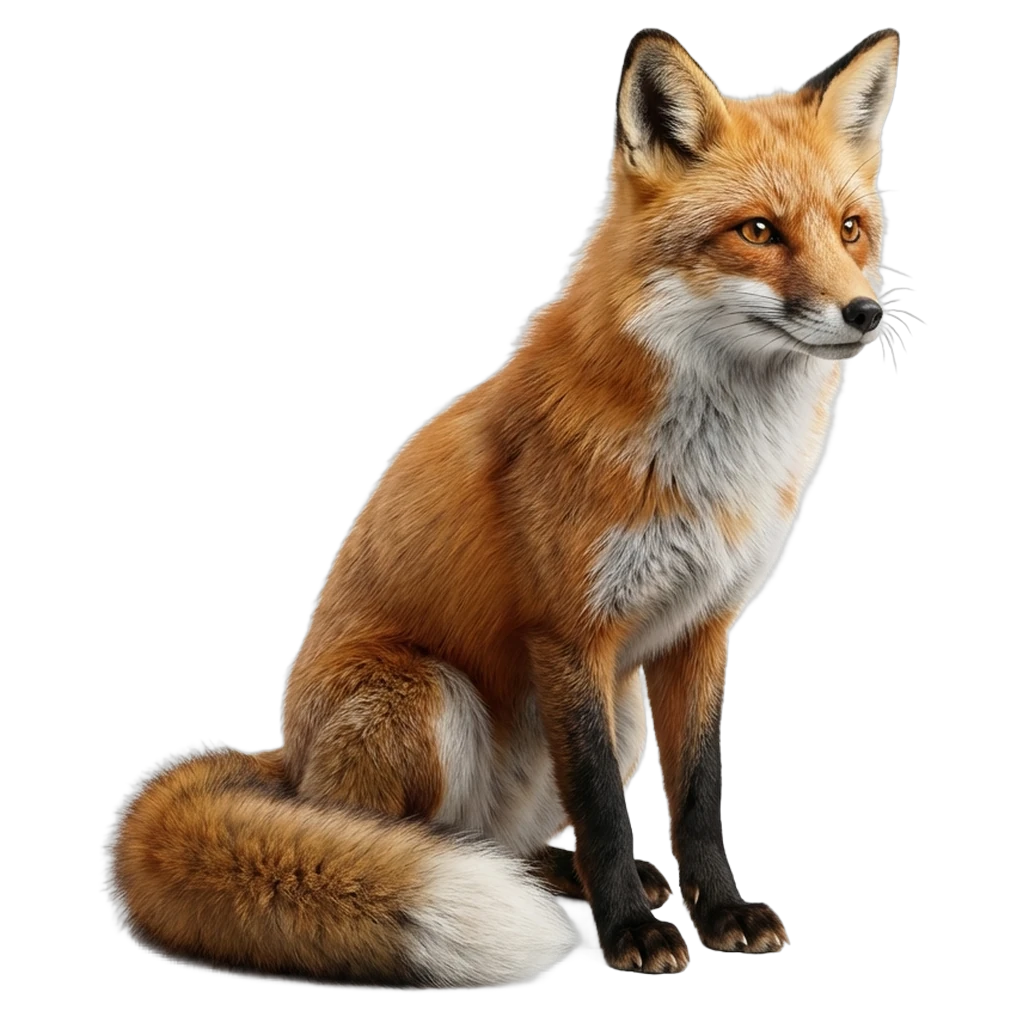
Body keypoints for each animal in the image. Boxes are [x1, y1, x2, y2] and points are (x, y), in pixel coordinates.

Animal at [104, 28, 901, 989]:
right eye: (757, 232)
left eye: (851, 228)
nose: (865, 313)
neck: (714, 464)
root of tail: (287, 765)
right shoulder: (569, 633)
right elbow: (602, 809)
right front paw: (633, 934)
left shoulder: (699, 632)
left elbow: (699, 800)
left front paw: (718, 913)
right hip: (425, 698)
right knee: (396, 841)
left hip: (619, 715)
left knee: (511, 846)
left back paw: (556, 874)